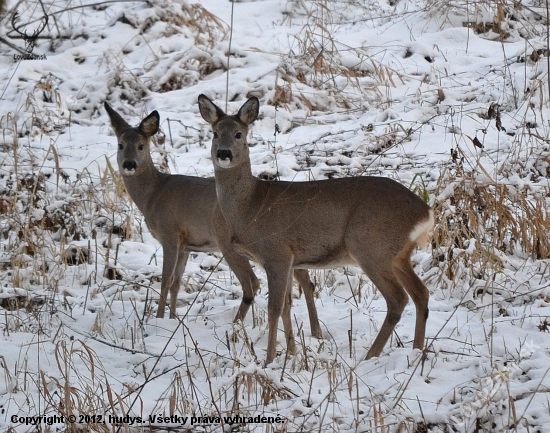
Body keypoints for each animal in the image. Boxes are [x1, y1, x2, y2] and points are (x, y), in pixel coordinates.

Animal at [103, 102, 324, 338]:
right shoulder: (186, 245)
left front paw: (157, 322)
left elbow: (165, 281)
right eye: (120, 145)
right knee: (307, 281)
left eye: (141, 146)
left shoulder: (169, 233)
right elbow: (176, 282)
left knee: (252, 283)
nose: (129, 164)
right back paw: (317, 333)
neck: (154, 193)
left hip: (227, 243)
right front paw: (172, 320)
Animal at [198, 94, 436, 364]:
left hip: (370, 247)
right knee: (421, 293)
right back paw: (416, 351)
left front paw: (269, 360)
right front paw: (292, 354)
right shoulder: (290, 260)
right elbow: (287, 306)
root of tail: (425, 212)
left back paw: (369, 357)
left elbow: (274, 308)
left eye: (239, 134)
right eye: (215, 133)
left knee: (398, 299)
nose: (223, 153)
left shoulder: (277, 254)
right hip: (397, 254)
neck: (251, 206)